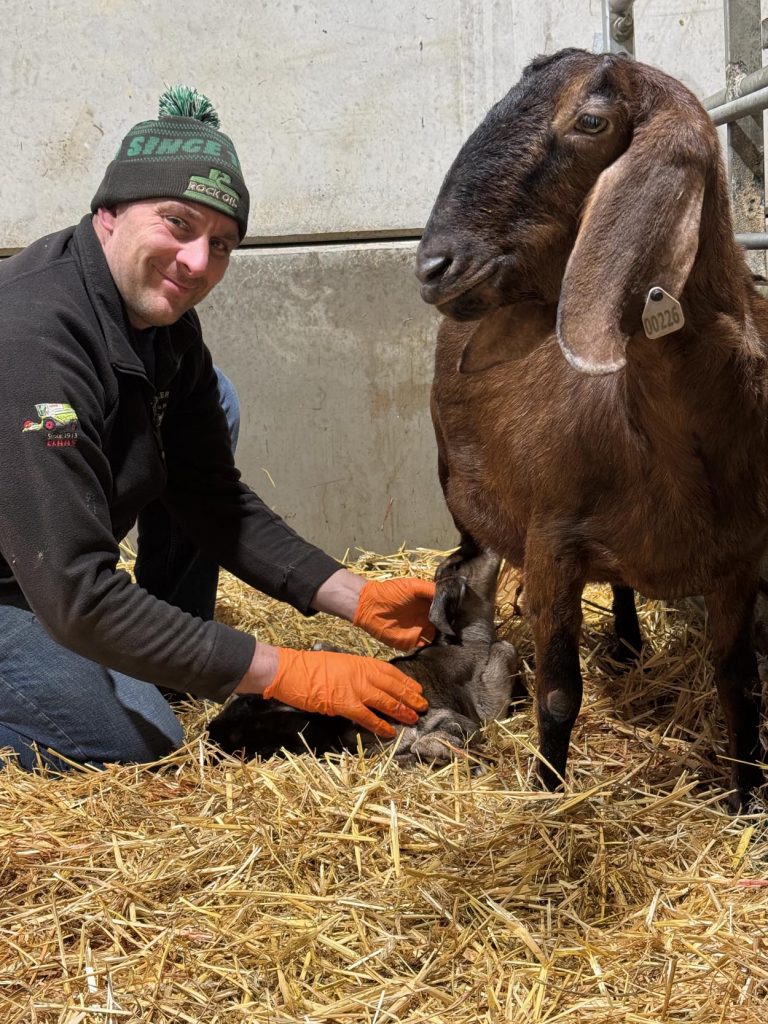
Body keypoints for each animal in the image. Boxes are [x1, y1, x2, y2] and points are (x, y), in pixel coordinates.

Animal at [415, 48, 768, 810]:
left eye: (590, 121)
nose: (432, 266)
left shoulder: (738, 560)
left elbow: (739, 684)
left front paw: (747, 795)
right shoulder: (552, 545)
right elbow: (558, 695)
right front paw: (549, 793)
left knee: (625, 585)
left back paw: (631, 644)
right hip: (459, 481)